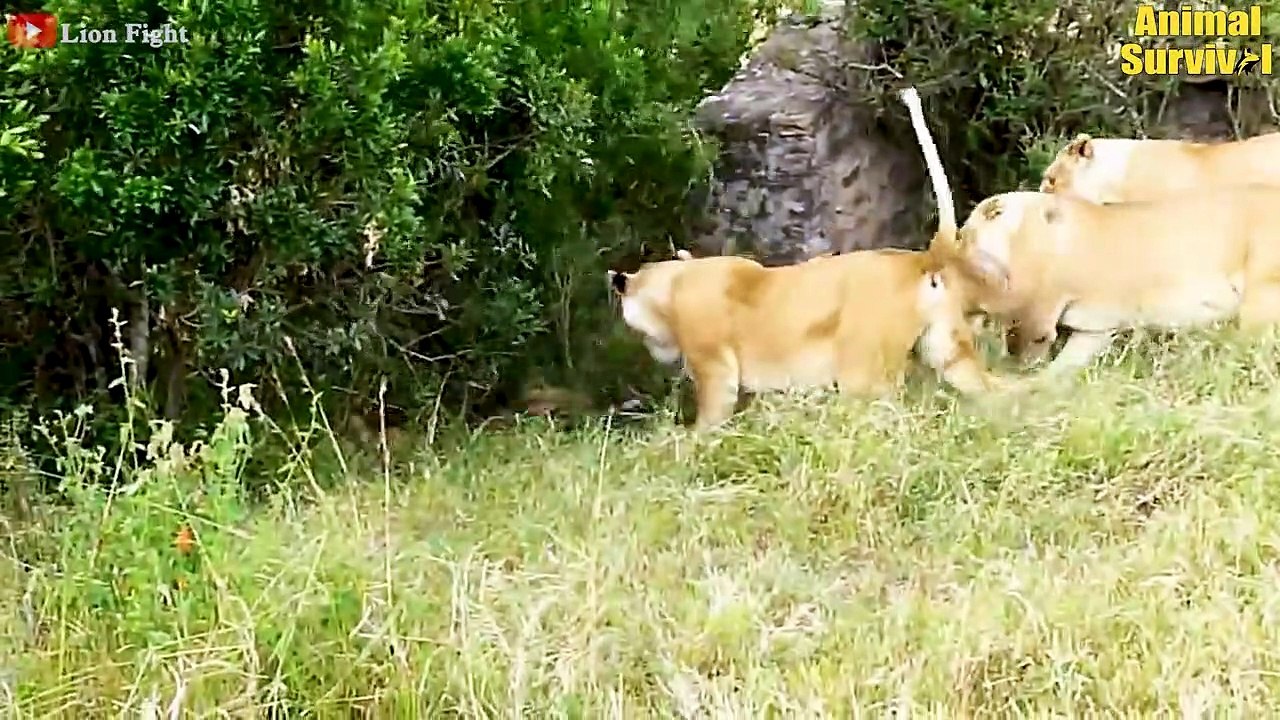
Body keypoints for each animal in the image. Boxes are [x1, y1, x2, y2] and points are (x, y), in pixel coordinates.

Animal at [607, 88, 1010, 429]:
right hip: (950, 353)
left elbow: (703, 426)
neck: (674, 282)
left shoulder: (716, 374)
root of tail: (920, 258)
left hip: (862, 378)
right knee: (998, 389)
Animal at [953, 185, 1280, 378]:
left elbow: (1025, 357)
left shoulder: (1036, 318)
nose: (957, 243)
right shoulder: (1092, 332)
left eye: (966, 236)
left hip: (1259, 300)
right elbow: (1054, 374)